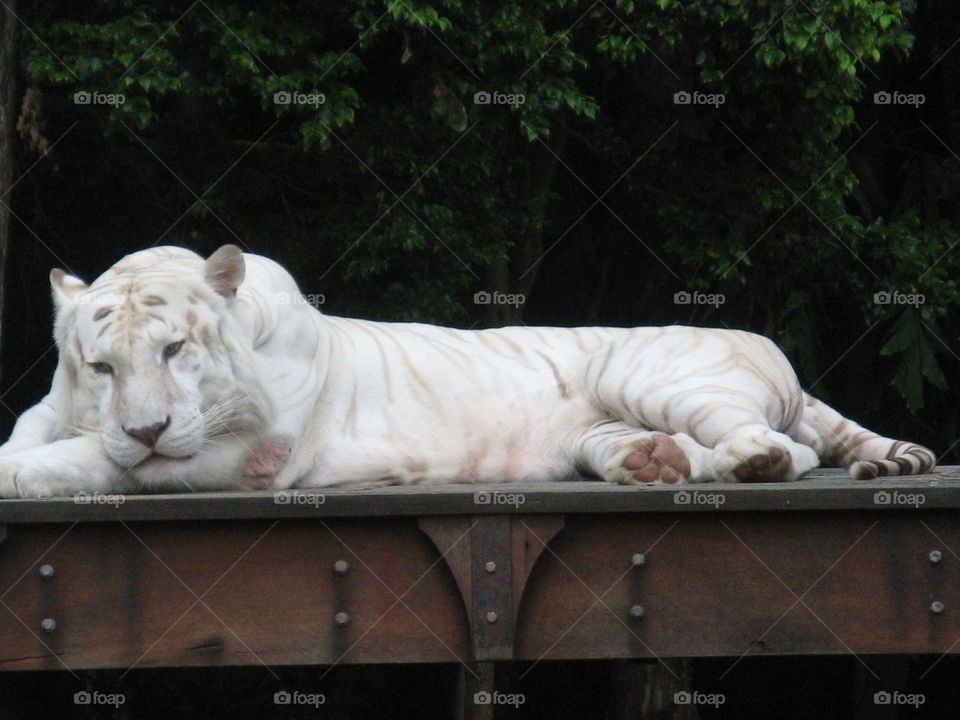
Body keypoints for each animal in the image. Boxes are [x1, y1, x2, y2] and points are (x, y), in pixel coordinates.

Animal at [0, 245, 936, 498]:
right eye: (100, 366)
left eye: (173, 351)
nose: (148, 425)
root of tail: (770, 346)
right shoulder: (62, 408)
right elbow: (37, 431)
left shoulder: (237, 455)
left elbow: (87, 460)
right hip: (609, 422)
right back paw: (652, 462)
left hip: (654, 369)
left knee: (789, 449)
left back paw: (752, 460)